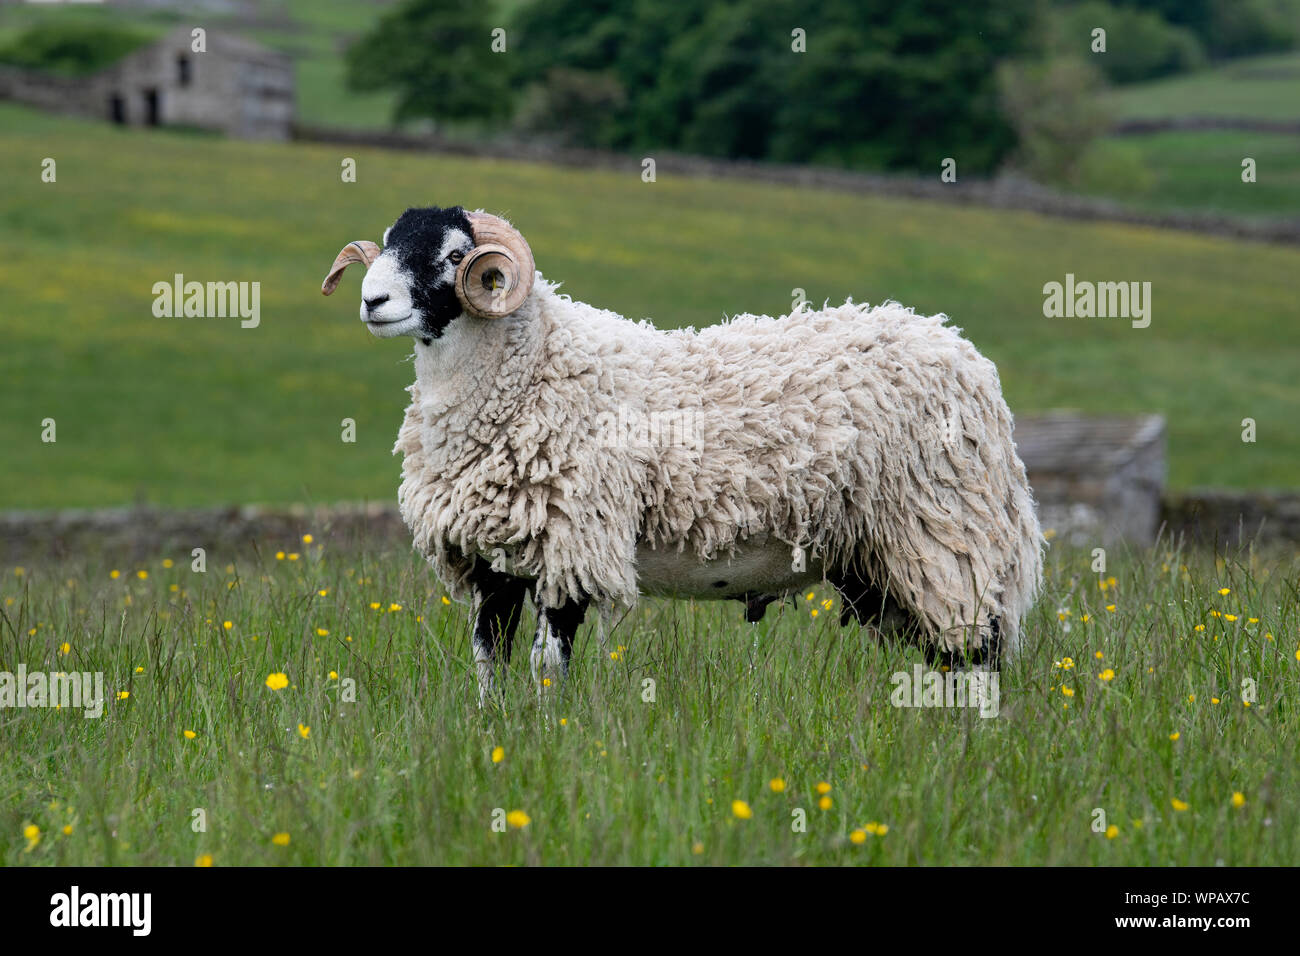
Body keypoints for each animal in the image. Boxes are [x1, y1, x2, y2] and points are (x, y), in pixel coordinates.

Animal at [325, 208, 1045, 702]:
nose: (372, 301)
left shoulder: (573, 545)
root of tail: (964, 354)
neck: (528, 370)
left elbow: (547, 667)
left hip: (944, 533)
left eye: (452, 255)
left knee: (976, 651)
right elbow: (487, 664)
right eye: (389, 242)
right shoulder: (490, 560)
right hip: (882, 561)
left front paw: (544, 743)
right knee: (946, 657)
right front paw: (493, 736)